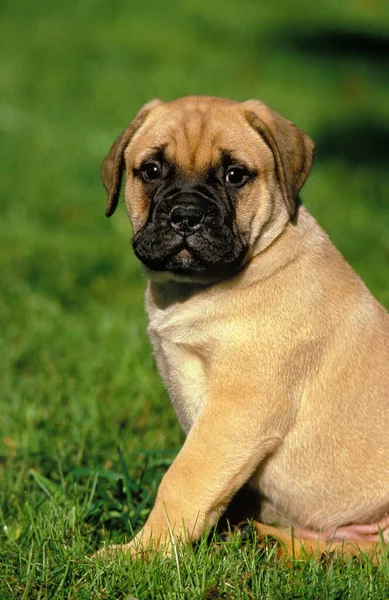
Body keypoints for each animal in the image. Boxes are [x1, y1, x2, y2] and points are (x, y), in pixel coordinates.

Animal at [99, 96, 388, 560]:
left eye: (235, 175)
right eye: (152, 170)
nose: (186, 216)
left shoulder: (238, 409)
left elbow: (183, 480)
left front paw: (140, 553)